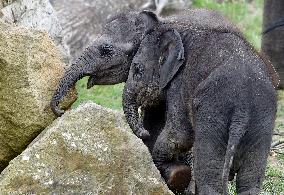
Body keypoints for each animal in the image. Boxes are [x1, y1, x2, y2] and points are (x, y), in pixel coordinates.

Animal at [123, 12, 278, 194]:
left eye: (137, 69)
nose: (145, 133)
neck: (181, 30)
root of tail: (242, 110)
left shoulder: (180, 83)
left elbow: (180, 134)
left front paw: (170, 170)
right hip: (261, 122)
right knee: (250, 180)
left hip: (213, 114)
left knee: (210, 175)